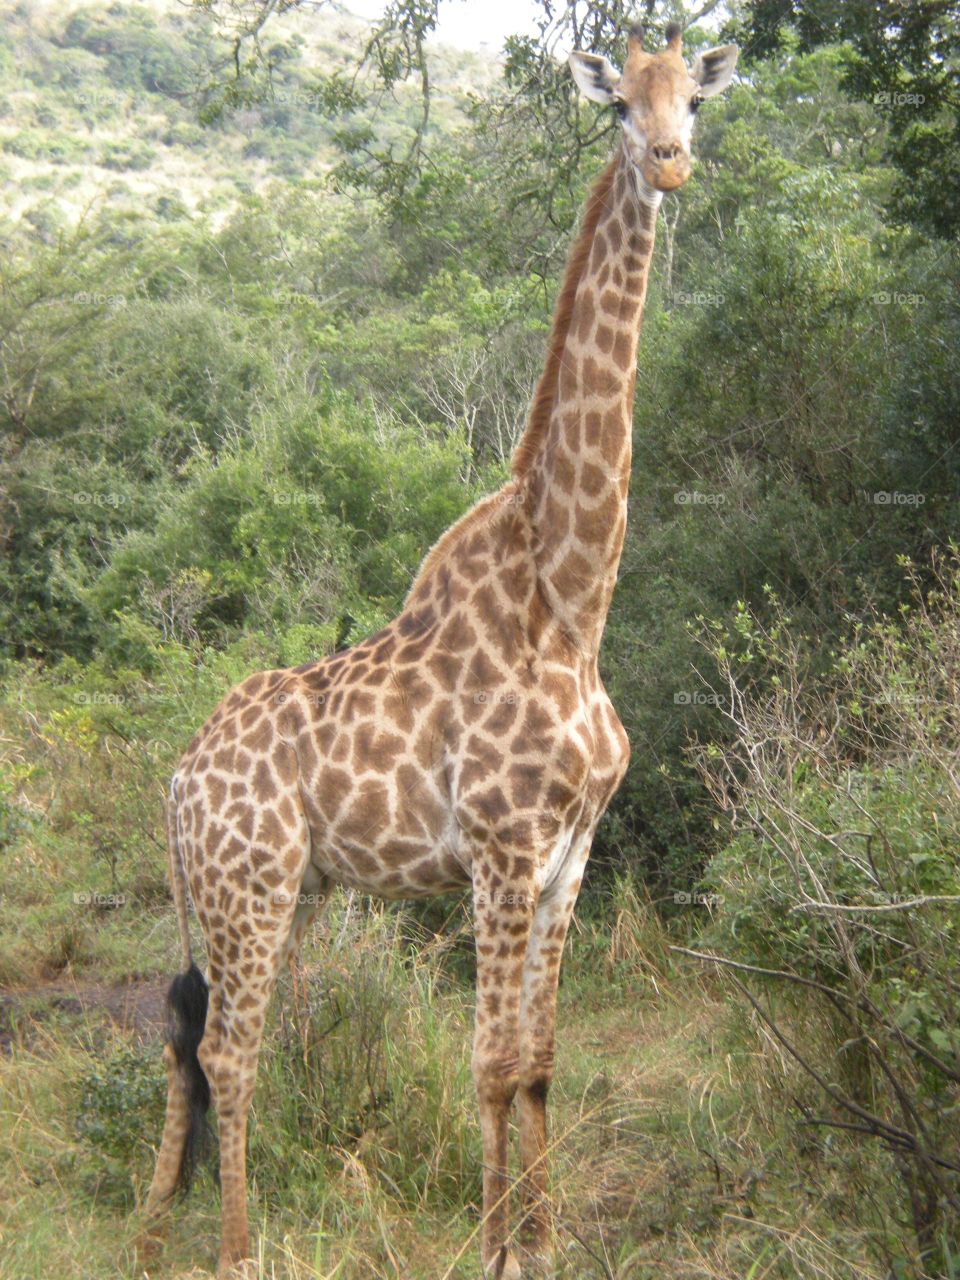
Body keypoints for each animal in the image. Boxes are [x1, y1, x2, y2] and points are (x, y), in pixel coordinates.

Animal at [138, 22, 738, 1280]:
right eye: (620, 105)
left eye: (697, 103)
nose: (669, 162)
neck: (569, 602)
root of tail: (177, 776)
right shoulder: (502, 852)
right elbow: (492, 1063)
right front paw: (496, 1245)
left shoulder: (569, 854)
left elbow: (541, 1060)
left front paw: (544, 1242)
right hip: (248, 884)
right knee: (228, 1050)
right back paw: (238, 1247)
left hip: (276, 889)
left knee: (193, 1036)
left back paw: (156, 1222)